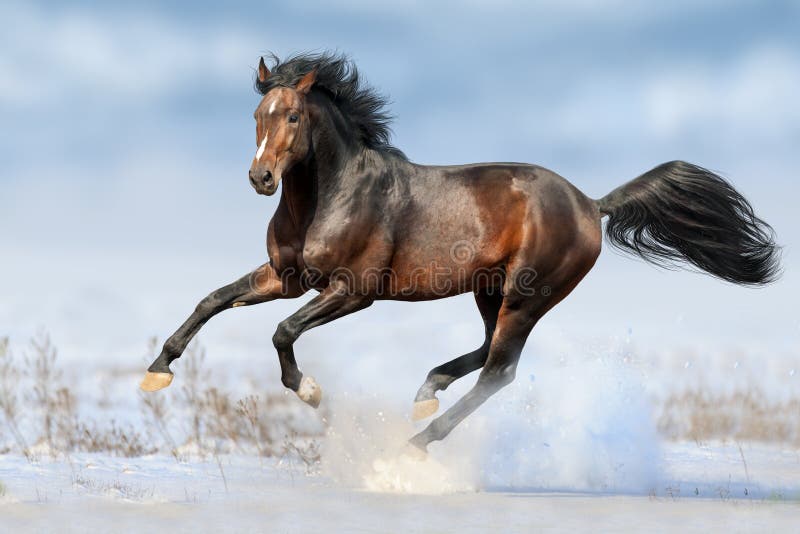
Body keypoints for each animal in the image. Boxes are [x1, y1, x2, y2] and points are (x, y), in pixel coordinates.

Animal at [139, 52, 780, 452]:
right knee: (486, 352)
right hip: (488, 289)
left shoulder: (353, 291)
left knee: (501, 370)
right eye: (256, 115)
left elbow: (282, 332)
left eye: (293, 116)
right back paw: (426, 394)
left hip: (527, 294)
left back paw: (417, 440)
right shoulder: (286, 276)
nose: (261, 178)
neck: (329, 195)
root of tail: (590, 203)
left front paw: (313, 392)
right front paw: (157, 372)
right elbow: (212, 300)